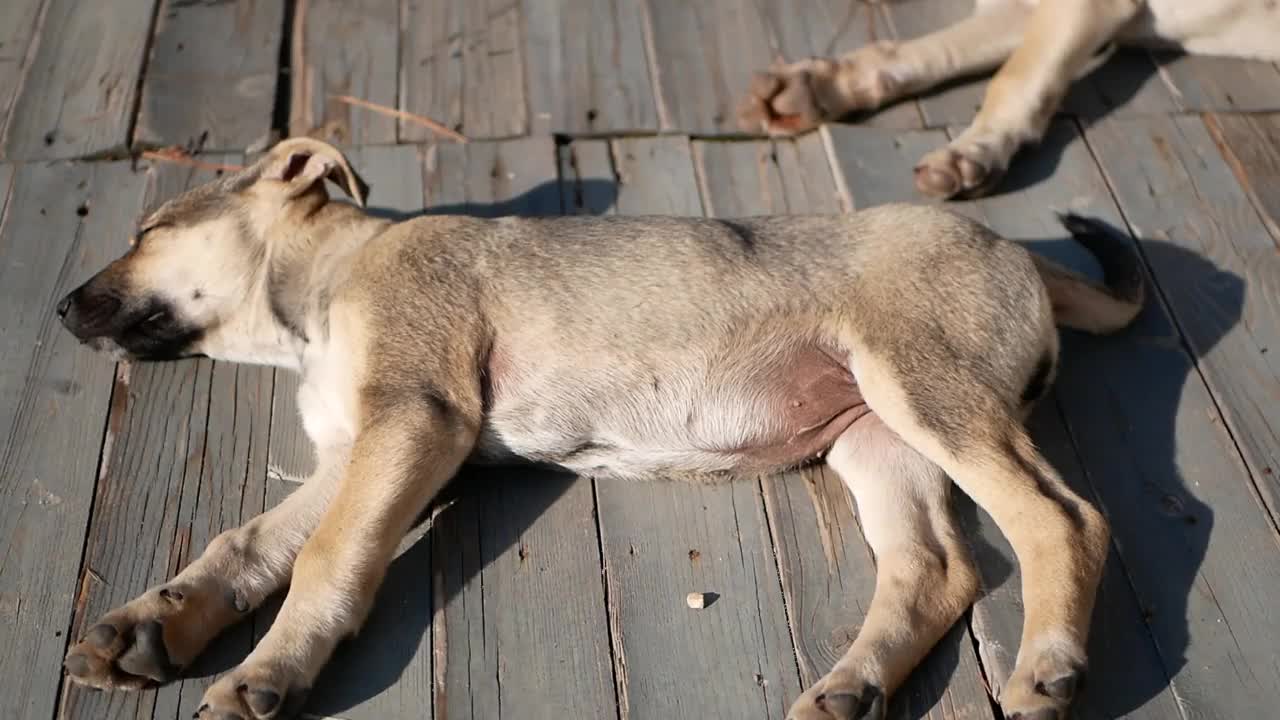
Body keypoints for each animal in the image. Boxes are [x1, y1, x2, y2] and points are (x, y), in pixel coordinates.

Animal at [55, 137, 1146, 712]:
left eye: (147, 232)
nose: (60, 310)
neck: (325, 291)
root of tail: (1019, 250)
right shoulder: (352, 453)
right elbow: (246, 544)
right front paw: (154, 623)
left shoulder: (414, 419)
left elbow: (325, 559)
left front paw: (269, 670)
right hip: (875, 434)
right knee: (938, 567)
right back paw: (853, 686)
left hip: (928, 388)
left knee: (1064, 520)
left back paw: (1046, 666)